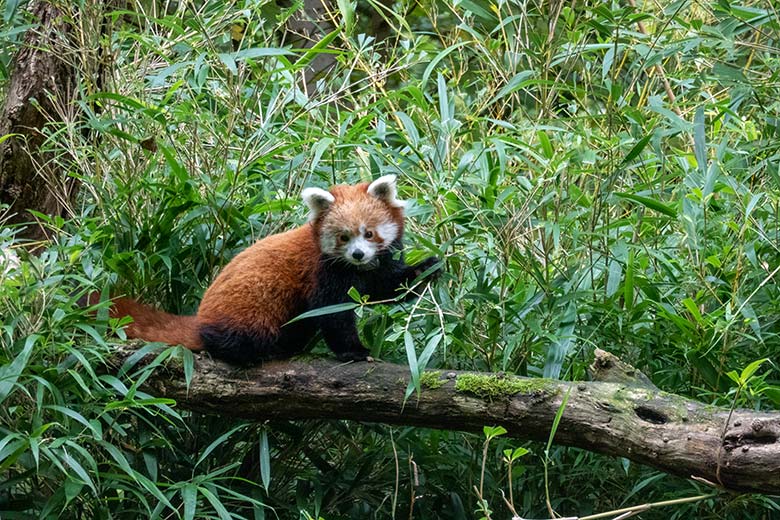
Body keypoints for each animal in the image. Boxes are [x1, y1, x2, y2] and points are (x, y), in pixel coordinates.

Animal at [105, 174, 438, 362]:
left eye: (368, 233)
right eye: (344, 237)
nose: (357, 254)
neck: (354, 268)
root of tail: (201, 320)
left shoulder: (372, 268)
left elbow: (385, 286)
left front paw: (429, 268)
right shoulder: (324, 272)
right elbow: (332, 313)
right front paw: (354, 351)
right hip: (249, 311)